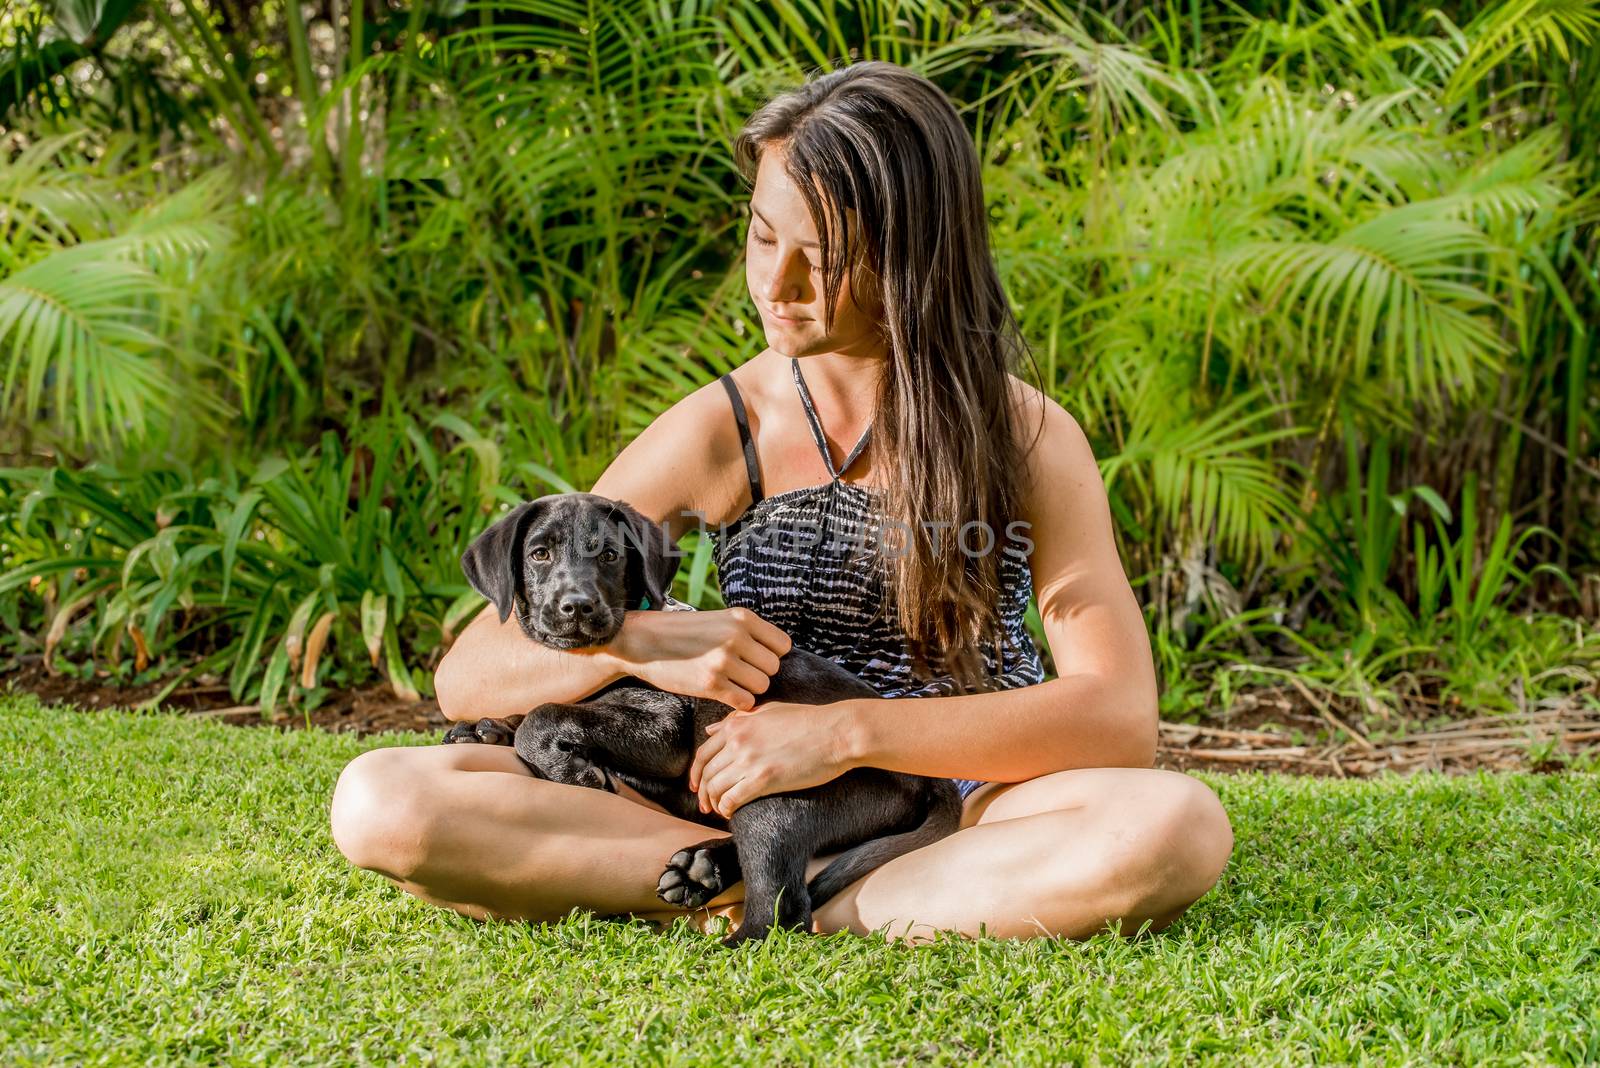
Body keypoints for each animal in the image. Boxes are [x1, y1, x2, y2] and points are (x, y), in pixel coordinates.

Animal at [441, 492, 960, 940]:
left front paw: (572, 769)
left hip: (775, 792)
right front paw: (483, 729)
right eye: (540, 554)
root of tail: (927, 779)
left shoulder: (664, 726)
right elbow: (538, 708)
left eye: (609, 555)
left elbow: (546, 713)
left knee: (783, 907)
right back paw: (700, 869)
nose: (577, 607)